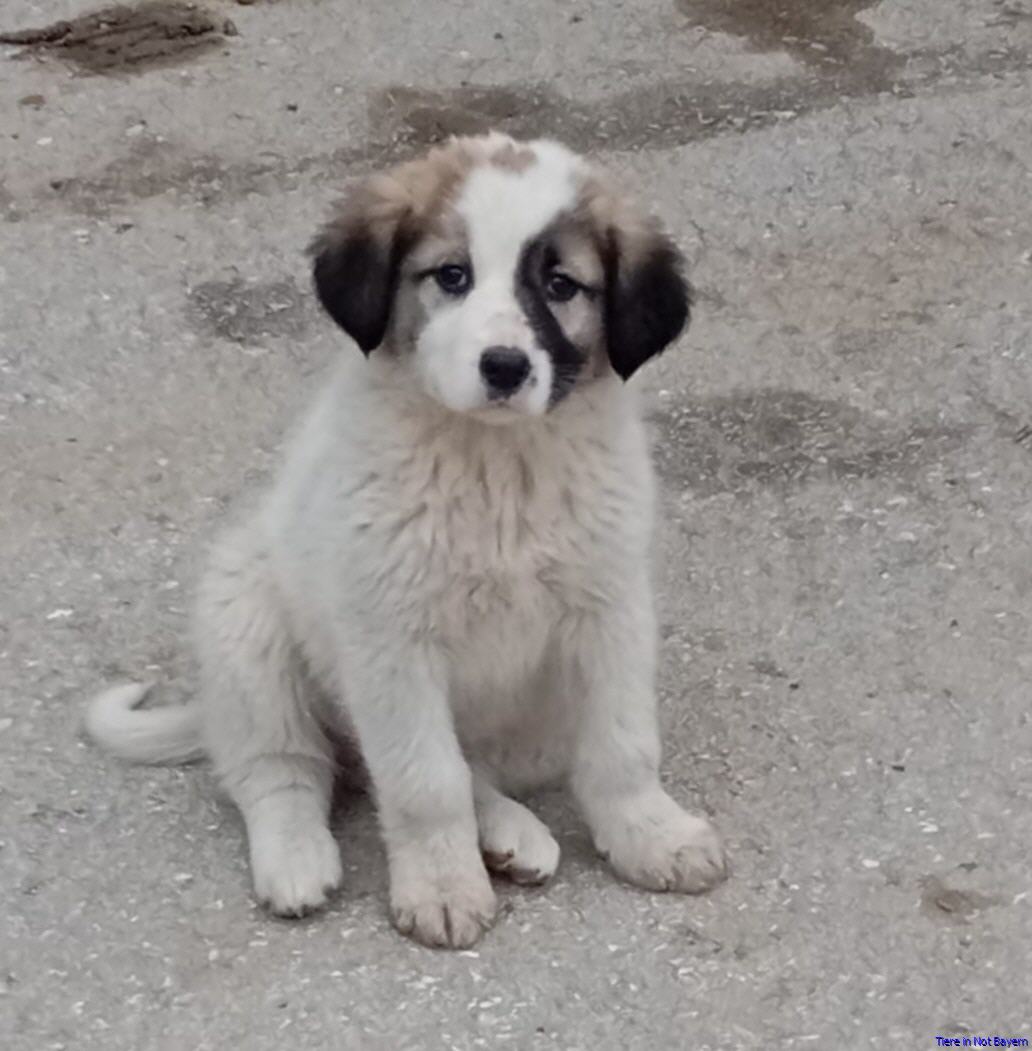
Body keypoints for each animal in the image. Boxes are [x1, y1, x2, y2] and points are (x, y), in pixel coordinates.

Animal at [86, 132, 728, 948]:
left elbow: (622, 745)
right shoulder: (390, 638)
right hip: (246, 620)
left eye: (561, 284)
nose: (504, 366)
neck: (495, 466)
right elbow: (425, 780)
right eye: (451, 276)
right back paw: (297, 857)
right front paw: (443, 886)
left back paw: (510, 832)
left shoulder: (609, 608)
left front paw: (652, 835)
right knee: (282, 769)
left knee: (459, 768)